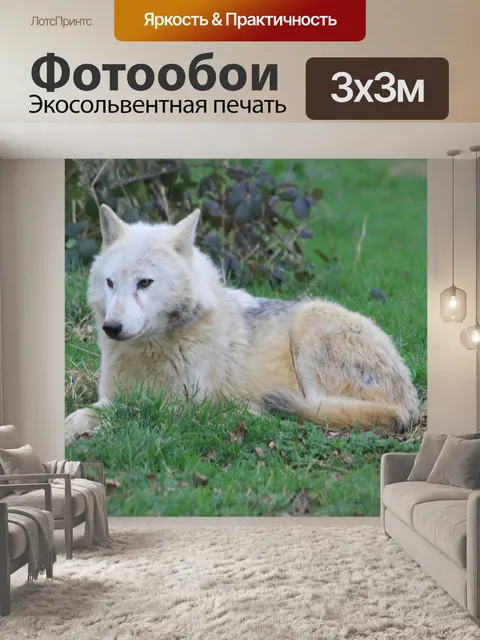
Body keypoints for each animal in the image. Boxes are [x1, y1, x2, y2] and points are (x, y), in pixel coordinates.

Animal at [65, 205, 420, 443]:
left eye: (144, 283)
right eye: (111, 283)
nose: (112, 327)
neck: (152, 350)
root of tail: (410, 404)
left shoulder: (177, 405)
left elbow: (125, 416)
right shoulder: (112, 396)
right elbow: (83, 413)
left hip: (311, 324)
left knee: (319, 412)